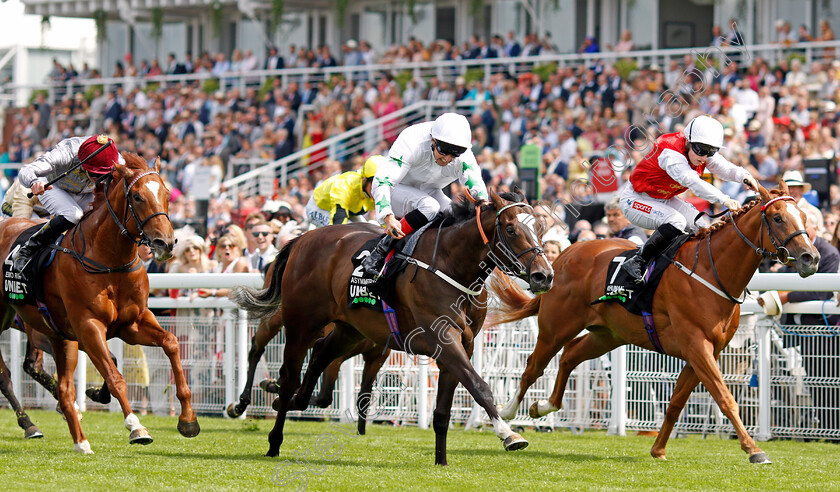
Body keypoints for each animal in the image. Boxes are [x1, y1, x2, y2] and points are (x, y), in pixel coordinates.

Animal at [0, 153, 200, 454]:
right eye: (137, 197)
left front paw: (188, 420)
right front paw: (136, 427)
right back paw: (32, 424)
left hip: (57, 335)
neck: (108, 259)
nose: (165, 243)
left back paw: (78, 440)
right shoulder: (89, 326)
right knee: (8, 374)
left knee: (61, 387)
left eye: (166, 194)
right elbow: (115, 376)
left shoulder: (132, 322)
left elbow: (171, 343)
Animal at [233, 190, 556, 464]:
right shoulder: (443, 340)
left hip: (349, 330)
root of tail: (300, 240)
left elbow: (442, 412)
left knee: (320, 358)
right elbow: (479, 386)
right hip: (302, 323)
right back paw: (272, 436)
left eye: (541, 229)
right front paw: (508, 433)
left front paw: (441, 461)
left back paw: (285, 398)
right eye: (511, 230)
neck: (452, 266)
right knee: (287, 374)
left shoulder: (463, 344)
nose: (544, 276)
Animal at [488, 183, 816, 464]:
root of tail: (561, 257)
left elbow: (676, 403)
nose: (810, 257)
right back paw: (509, 414)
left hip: (608, 334)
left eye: (802, 216)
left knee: (569, 355)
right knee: (533, 366)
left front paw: (658, 449)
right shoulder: (697, 345)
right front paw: (754, 450)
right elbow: (725, 398)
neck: (711, 270)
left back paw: (542, 406)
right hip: (556, 327)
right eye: (777, 218)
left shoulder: (705, 351)